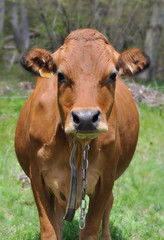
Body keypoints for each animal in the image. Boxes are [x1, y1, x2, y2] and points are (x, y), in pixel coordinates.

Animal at [14, 29, 149, 239]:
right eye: (60, 75)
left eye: (113, 75)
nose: (85, 118)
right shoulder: (36, 176)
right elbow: (50, 230)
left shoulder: (106, 178)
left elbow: (90, 230)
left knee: (109, 204)